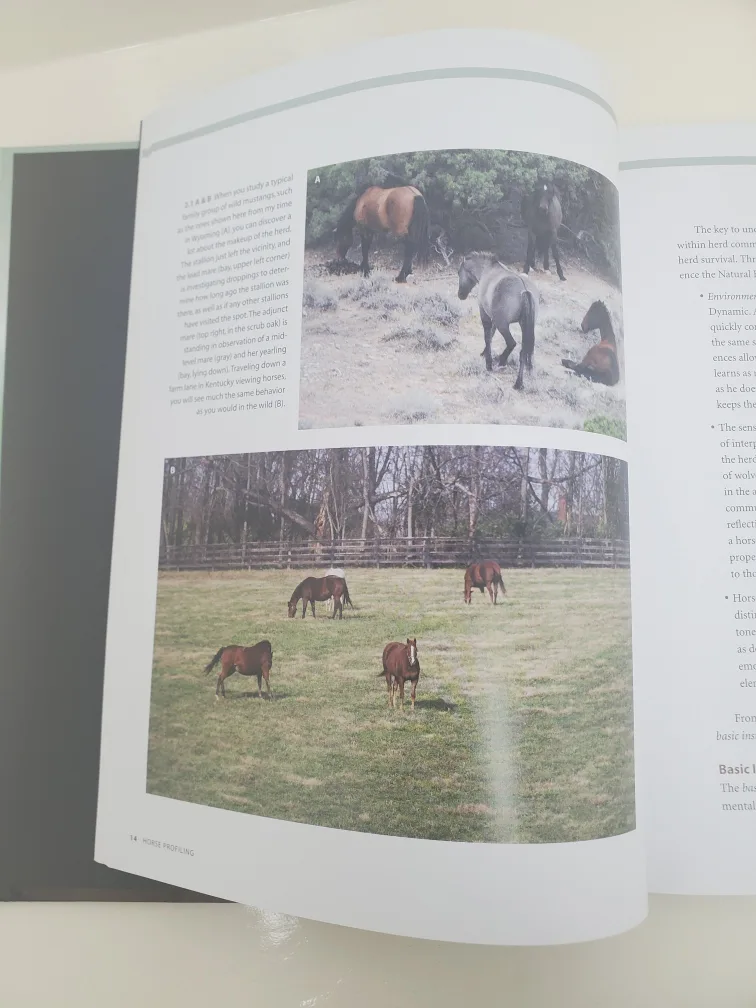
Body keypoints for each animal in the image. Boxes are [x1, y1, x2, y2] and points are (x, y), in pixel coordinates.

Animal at [457, 252, 537, 389]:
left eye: (459, 272)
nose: (460, 295)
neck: (487, 269)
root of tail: (525, 290)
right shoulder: (494, 319)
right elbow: (491, 334)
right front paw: (484, 353)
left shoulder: (485, 314)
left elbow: (487, 336)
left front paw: (488, 361)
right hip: (526, 327)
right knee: (525, 351)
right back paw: (520, 381)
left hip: (504, 325)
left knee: (512, 343)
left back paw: (501, 362)